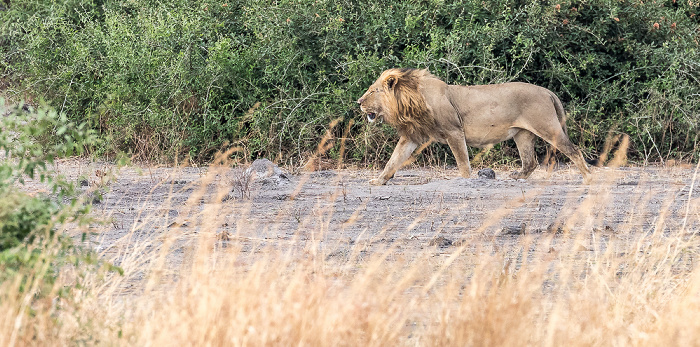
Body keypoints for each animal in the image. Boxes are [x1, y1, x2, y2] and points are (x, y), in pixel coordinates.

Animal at [356, 69, 592, 186]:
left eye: (373, 91)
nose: (358, 102)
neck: (410, 99)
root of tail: (547, 91)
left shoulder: (454, 131)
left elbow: (463, 163)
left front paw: (466, 181)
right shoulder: (413, 136)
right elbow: (393, 160)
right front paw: (379, 181)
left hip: (547, 127)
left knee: (574, 150)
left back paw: (588, 178)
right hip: (523, 134)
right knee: (530, 162)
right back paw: (516, 177)